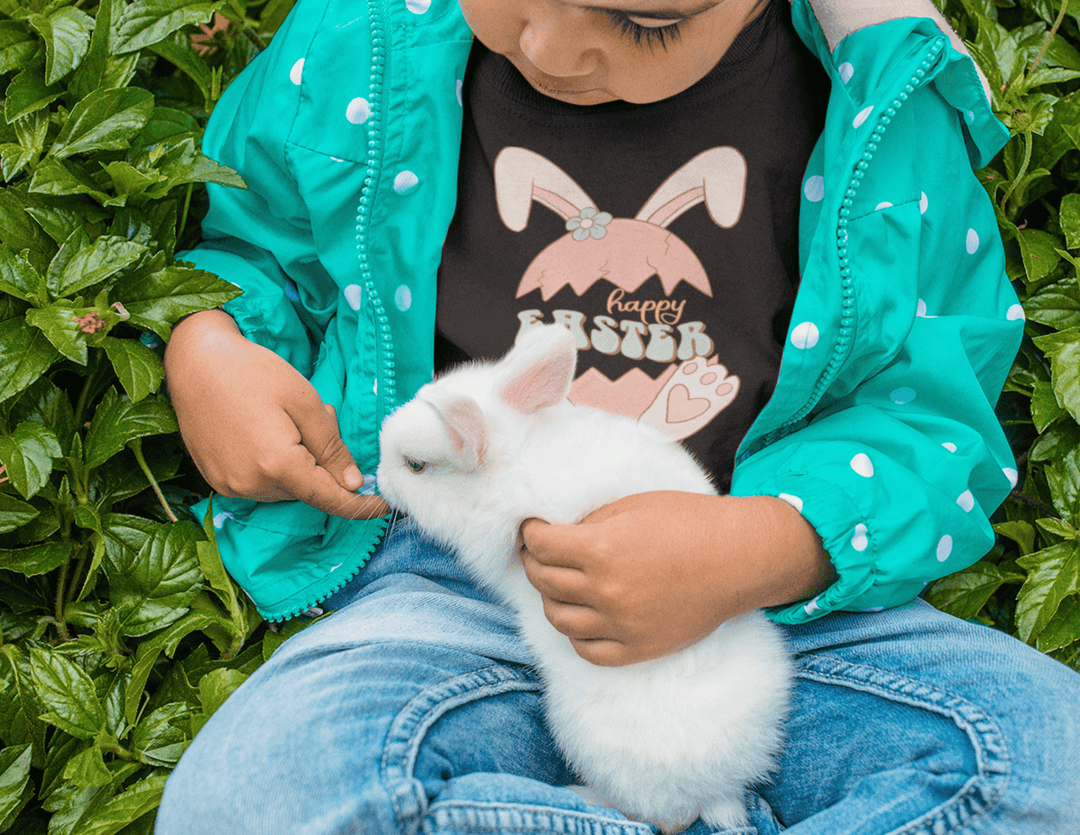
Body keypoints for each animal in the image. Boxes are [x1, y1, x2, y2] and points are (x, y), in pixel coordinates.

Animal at [375, 321, 790, 829]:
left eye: (415, 466)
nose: (377, 477)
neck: (516, 458)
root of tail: (721, 791)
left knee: (662, 818)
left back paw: (582, 795)